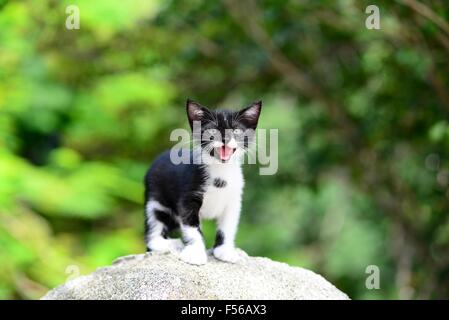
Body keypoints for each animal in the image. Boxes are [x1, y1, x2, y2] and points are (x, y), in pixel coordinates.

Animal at [144, 99, 262, 264]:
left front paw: (224, 250)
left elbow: (227, 226)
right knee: (154, 224)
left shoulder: (234, 200)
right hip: (156, 199)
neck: (220, 171)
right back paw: (167, 244)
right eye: (212, 131)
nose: (225, 139)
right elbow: (193, 227)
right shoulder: (188, 198)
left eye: (236, 131)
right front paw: (195, 253)